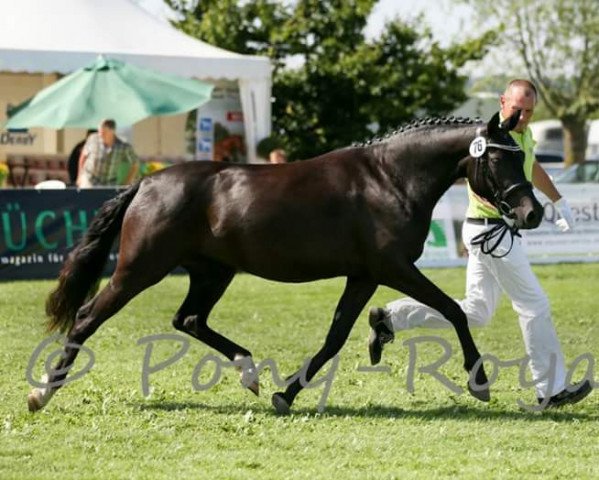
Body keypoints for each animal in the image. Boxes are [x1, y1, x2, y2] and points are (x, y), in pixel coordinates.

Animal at [28, 111, 544, 412]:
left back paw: (251, 374)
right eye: (499, 160)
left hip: (213, 272)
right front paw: (479, 382)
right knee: (88, 316)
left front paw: (286, 393)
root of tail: (147, 183)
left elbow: (335, 337)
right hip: (140, 270)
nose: (531, 213)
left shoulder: (363, 276)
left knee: (189, 319)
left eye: (520, 155)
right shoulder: (392, 269)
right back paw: (42, 392)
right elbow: (453, 310)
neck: (389, 179)